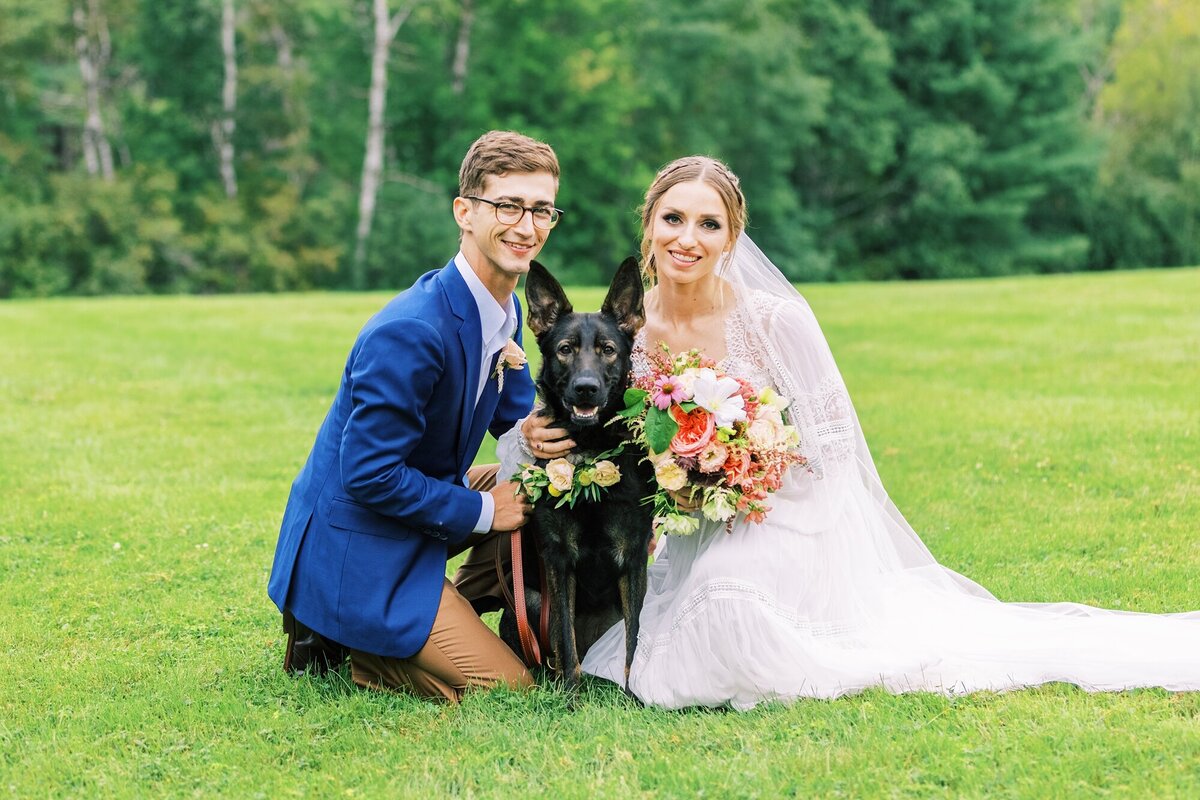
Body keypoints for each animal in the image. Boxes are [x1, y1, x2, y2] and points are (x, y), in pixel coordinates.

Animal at [504, 257, 662, 695]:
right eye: (565, 350)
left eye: (608, 350)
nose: (586, 388)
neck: (592, 452)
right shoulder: (559, 560)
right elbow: (564, 638)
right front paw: (570, 698)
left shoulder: (633, 557)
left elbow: (634, 639)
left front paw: (631, 694)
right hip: (529, 601)